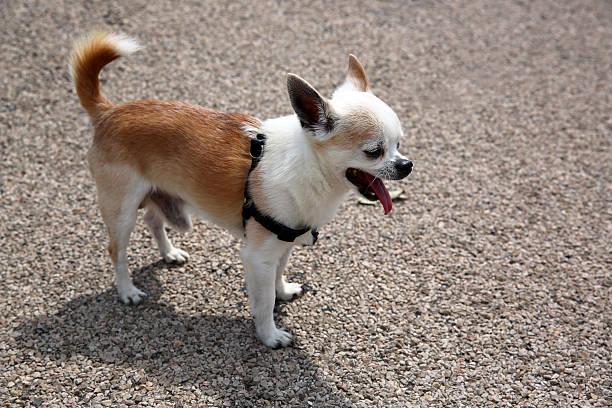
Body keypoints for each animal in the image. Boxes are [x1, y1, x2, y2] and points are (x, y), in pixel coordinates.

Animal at [70, 31, 412, 348]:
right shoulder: (257, 256)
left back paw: (169, 253)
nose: (407, 165)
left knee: (153, 219)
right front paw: (270, 335)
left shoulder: (283, 242)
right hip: (122, 208)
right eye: (373, 152)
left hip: (161, 194)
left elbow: (279, 273)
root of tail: (108, 112)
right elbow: (263, 302)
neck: (310, 168)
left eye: (399, 144)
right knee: (117, 251)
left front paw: (283, 290)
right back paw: (127, 291)